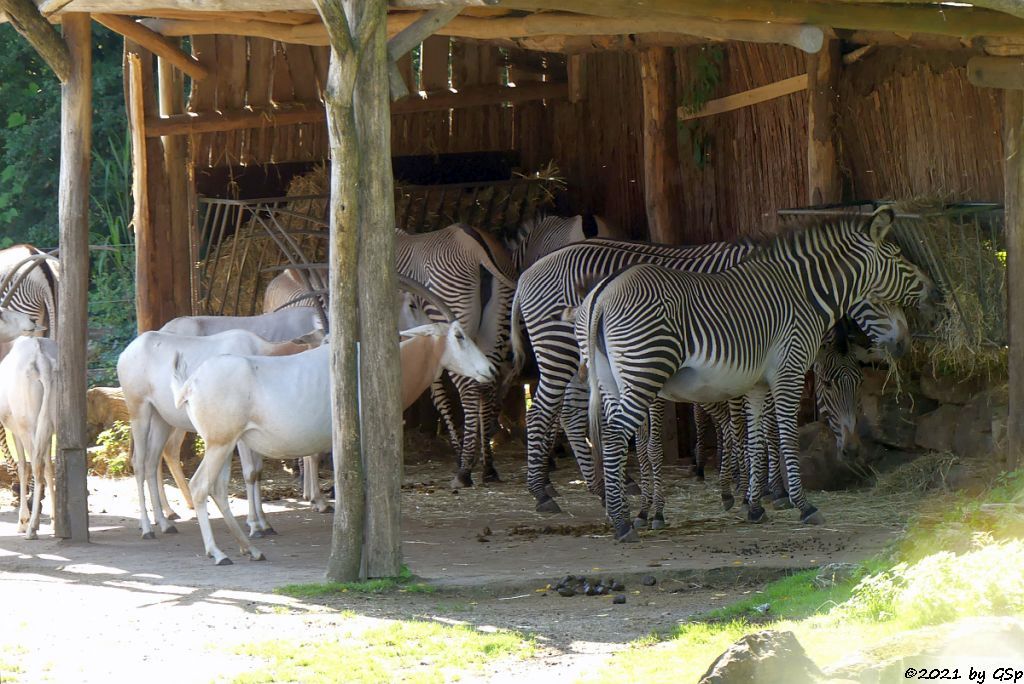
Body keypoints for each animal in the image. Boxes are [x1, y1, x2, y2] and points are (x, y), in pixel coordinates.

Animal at [393, 224, 516, 485]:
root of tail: (474, 242)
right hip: (493, 333)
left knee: (469, 390)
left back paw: (464, 471)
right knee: (487, 386)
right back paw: (488, 467)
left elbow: (437, 395)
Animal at [507, 237, 749, 509]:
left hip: (580, 362)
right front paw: (751, 488)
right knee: (539, 413)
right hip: (558, 350)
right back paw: (541, 492)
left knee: (570, 415)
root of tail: (527, 273)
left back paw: (601, 488)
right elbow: (746, 423)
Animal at [577, 208, 937, 540]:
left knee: (610, 434)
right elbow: (785, 435)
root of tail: (602, 295)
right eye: (897, 257)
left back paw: (623, 512)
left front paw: (754, 506)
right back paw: (622, 522)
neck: (805, 293)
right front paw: (800, 504)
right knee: (614, 434)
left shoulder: (756, 383)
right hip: (645, 370)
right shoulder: (789, 371)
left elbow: (755, 438)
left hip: (611, 380)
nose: (933, 291)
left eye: (860, 383)